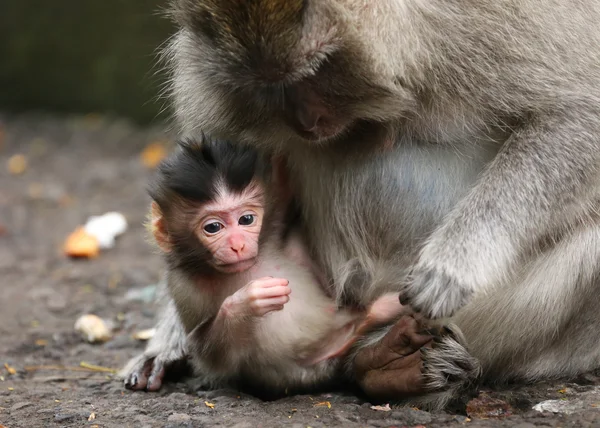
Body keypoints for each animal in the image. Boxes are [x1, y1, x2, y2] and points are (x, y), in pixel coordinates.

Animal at [123, 137, 404, 394]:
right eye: (213, 227)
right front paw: (249, 300)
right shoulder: (183, 287)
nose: (237, 245)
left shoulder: (274, 222)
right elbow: (209, 353)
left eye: (247, 219)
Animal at [158, 0, 600, 408]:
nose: (304, 121)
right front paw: (170, 335)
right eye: (268, 86)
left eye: (319, 69)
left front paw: (454, 263)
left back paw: (383, 362)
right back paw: (385, 364)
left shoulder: (493, 18)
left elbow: (578, 113)